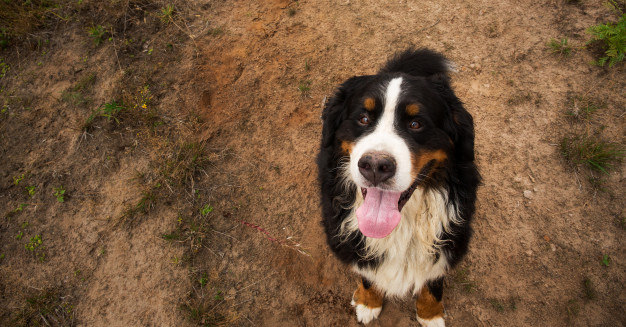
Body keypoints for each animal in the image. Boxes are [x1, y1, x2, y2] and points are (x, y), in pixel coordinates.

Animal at [314, 49, 480, 327]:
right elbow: (368, 274)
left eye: (416, 124)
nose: (375, 165)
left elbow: (433, 282)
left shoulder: (448, 241)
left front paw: (431, 314)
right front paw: (368, 302)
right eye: (363, 119)